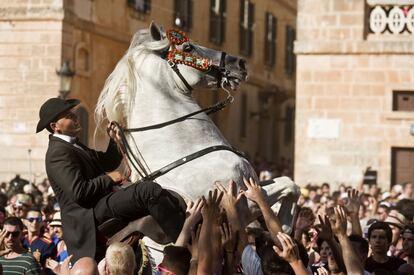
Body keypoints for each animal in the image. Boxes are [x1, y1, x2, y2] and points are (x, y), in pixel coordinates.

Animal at [95, 23, 300, 239]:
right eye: (187, 47)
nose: (240, 64)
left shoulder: (254, 184)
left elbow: (290, 183)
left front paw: (282, 228)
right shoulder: (241, 203)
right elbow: (288, 187)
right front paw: (282, 227)